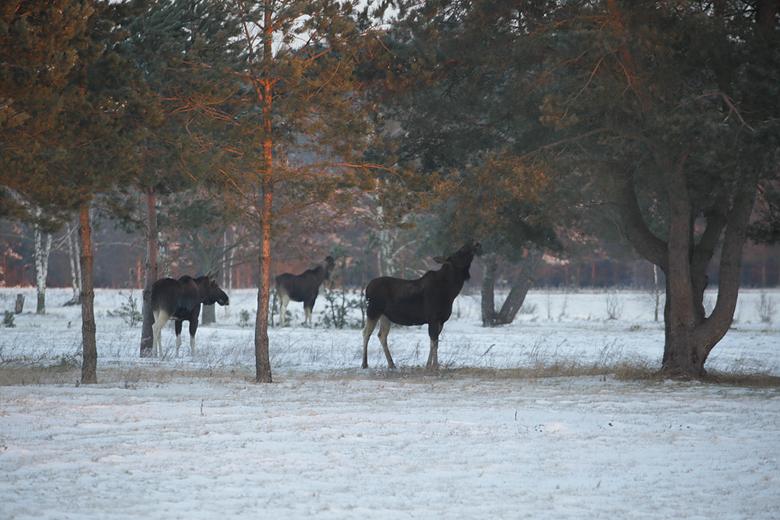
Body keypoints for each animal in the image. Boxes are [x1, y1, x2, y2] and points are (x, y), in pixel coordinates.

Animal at [362, 241, 482, 370]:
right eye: (459, 252)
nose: (475, 243)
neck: (450, 291)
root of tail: (367, 289)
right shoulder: (433, 318)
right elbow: (434, 342)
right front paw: (435, 365)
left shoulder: (441, 320)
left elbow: (434, 342)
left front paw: (429, 365)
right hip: (373, 311)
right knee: (366, 332)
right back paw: (365, 363)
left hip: (385, 316)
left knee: (382, 335)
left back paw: (391, 364)